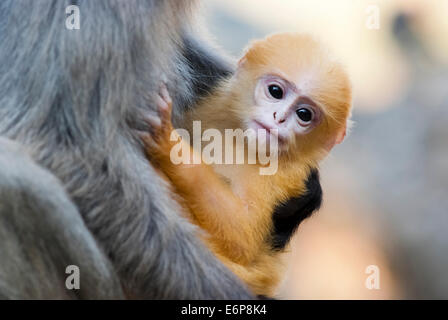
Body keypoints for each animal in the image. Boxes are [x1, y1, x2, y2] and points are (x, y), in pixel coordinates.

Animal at [142, 33, 352, 296]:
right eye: (275, 91)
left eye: (304, 114)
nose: (279, 118)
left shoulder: (283, 175)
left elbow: (242, 236)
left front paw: (169, 145)